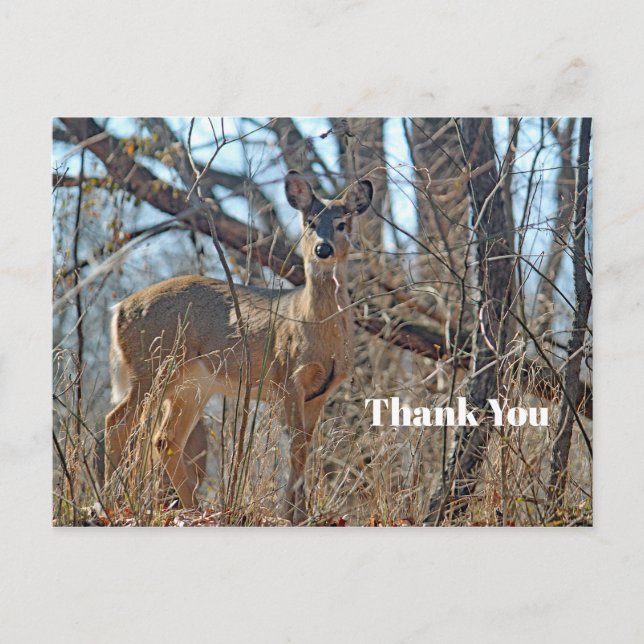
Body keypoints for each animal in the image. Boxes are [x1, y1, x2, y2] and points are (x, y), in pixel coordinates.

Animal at [104, 170, 373, 524]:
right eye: (310, 221)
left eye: (342, 223)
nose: (323, 249)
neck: (312, 324)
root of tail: (120, 308)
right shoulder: (287, 378)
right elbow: (295, 448)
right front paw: (290, 516)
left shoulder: (320, 393)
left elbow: (304, 449)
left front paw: (300, 514)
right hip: (152, 366)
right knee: (117, 423)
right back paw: (110, 501)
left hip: (191, 385)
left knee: (165, 439)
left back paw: (194, 509)